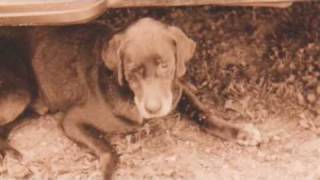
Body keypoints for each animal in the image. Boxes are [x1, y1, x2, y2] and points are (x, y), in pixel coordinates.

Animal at [0, 17, 260, 179]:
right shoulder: (72, 120)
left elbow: (204, 112)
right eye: (133, 71)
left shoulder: (177, 90)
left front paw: (240, 132)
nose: (154, 109)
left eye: (164, 64)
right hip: (19, 95)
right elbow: (109, 150)